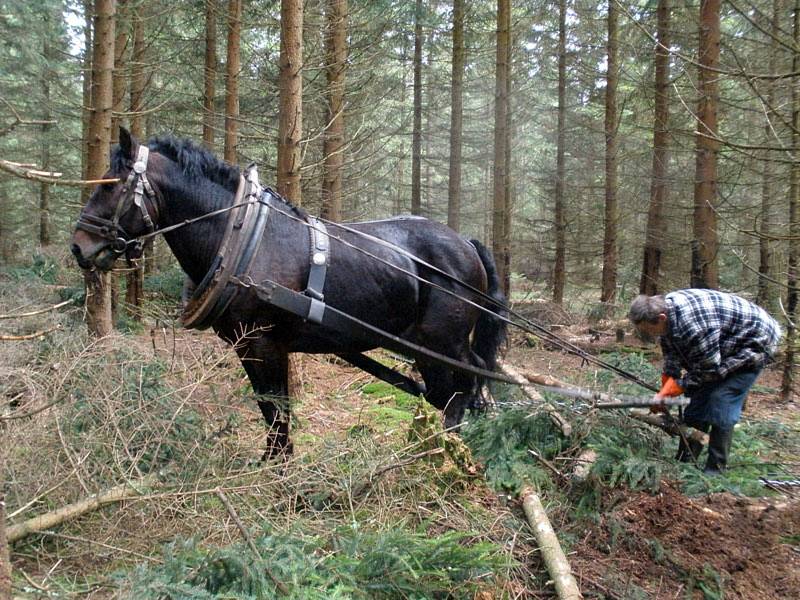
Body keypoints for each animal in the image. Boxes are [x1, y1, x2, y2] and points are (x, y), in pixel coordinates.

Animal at [70, 129, 506, 458]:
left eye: (112, 186)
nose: (78, 246)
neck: (241, 237)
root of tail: (466, 243)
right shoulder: (247, 346)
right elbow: (269, 406)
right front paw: (273, 460)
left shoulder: (264, 343)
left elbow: (277, 407)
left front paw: (279, 467)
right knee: (452, 390)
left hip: (441, 343)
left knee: (461, 388)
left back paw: (437, 448)